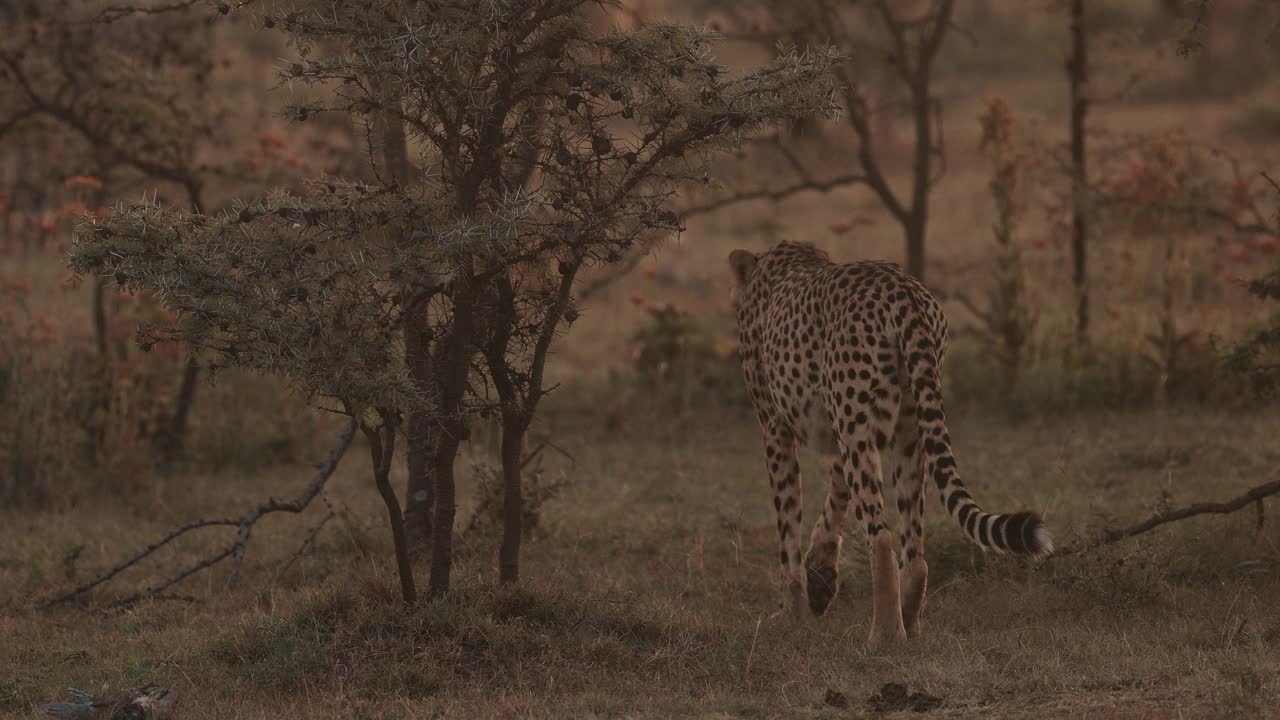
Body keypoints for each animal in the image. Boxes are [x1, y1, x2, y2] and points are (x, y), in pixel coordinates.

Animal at [732, 240, 1049, 645]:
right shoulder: (839, 432)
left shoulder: (777, 427)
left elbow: (788, 526)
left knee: (881, 536)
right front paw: (820, 577)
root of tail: (901, 287)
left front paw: (791, 611)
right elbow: (833, 501)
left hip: (858, 425)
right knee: (914, 547)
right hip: (910, 426)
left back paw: (884, 635)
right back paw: (909, 623)